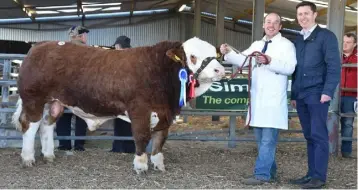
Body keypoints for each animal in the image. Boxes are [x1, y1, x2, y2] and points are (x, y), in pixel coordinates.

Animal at [12, 36, 225, 174]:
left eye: (214, 54)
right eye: (193, 56)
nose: (220, 70)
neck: (160, 70)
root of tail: (38, 46)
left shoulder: (166, 113)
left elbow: (160, 139)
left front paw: (158, 164)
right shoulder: (140, 109)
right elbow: (142, 136)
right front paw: (141, 165)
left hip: (54, 103)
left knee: (46, 125)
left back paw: (48, 155)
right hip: (34, 99)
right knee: (30, 126)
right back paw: (28, 158)